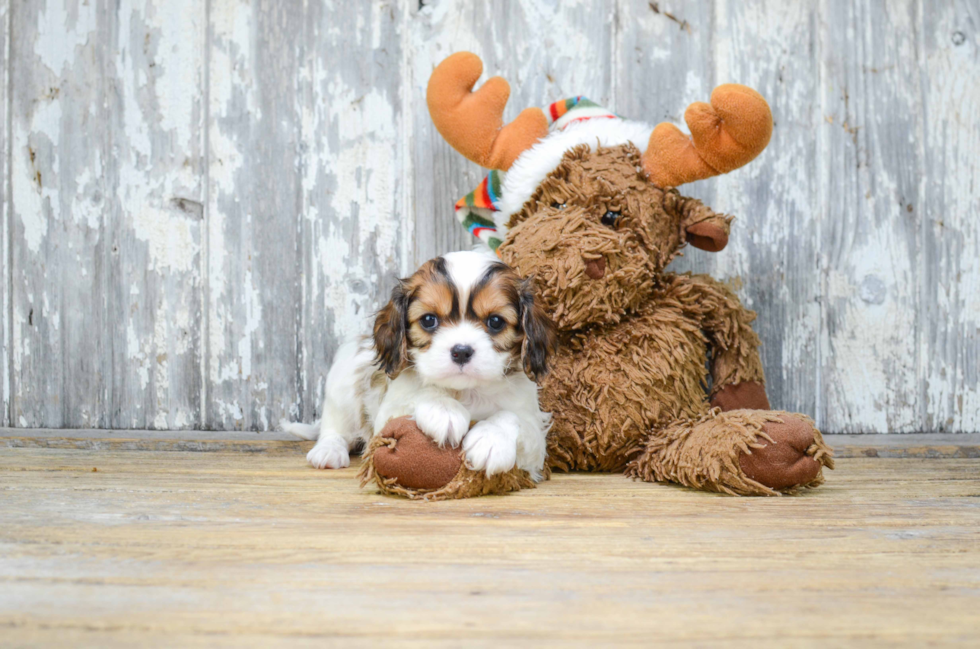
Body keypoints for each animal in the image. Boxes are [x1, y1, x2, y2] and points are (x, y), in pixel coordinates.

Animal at [284, 248, 560, 480]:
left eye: (495, 322)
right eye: (429, 320)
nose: (461, 351)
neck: (464, 392)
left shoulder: (535, 437)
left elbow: (515, 419)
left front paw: (492, 439)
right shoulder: (389, 410)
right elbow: (420, 393)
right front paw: (444, 410)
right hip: (343, 383)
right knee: (335, 426)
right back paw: (329, 450)